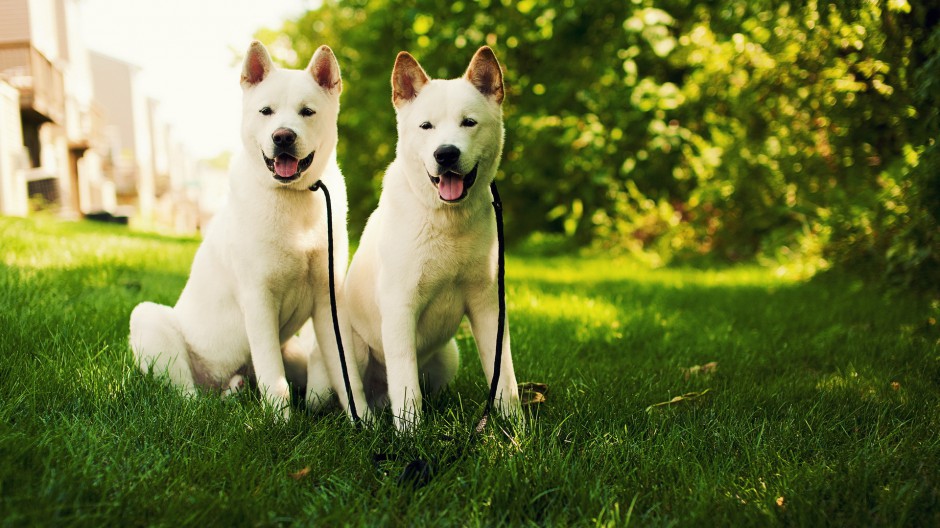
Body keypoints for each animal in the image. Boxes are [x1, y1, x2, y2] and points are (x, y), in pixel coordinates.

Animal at [127, 40, 368, 420]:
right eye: (266, 111)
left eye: (307, 112)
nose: (283, 137)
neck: (292, 198)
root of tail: (216, 383)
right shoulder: (258, 299)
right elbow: (274, 378)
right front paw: (280, 425)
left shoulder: (329, 301)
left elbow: (348, 378)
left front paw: (367, 423)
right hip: (149, 320)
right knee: (186, 395)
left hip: (291, 351)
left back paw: (237, 390)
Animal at [346, 46, 520, 434]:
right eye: (426, 126)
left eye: (468, 123)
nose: (446, 153)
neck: (446, 221)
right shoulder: (399, 307)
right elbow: (406, 386)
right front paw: (411, 435)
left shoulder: (488, 306)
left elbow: (503, 373)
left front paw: (515, 425)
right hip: (347, 355)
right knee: (355, 397)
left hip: (449, 355)